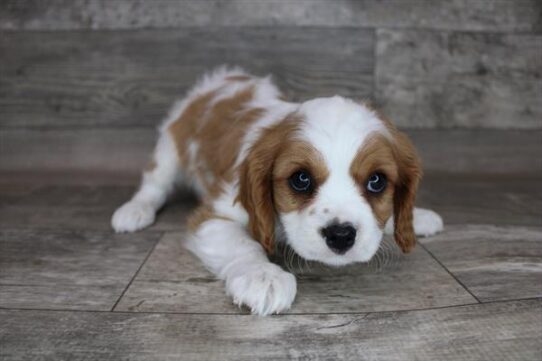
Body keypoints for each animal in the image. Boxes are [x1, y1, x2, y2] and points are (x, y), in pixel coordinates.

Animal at [111, 67, 446, 312]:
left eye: (376, 181)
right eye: (301, 179)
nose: (341, 236)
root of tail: (223, 78)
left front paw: (414, 217)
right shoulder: (214, 217)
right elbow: (243, 244)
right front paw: (263, 277)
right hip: (171, 144)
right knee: (154, 182)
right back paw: (134, 210)